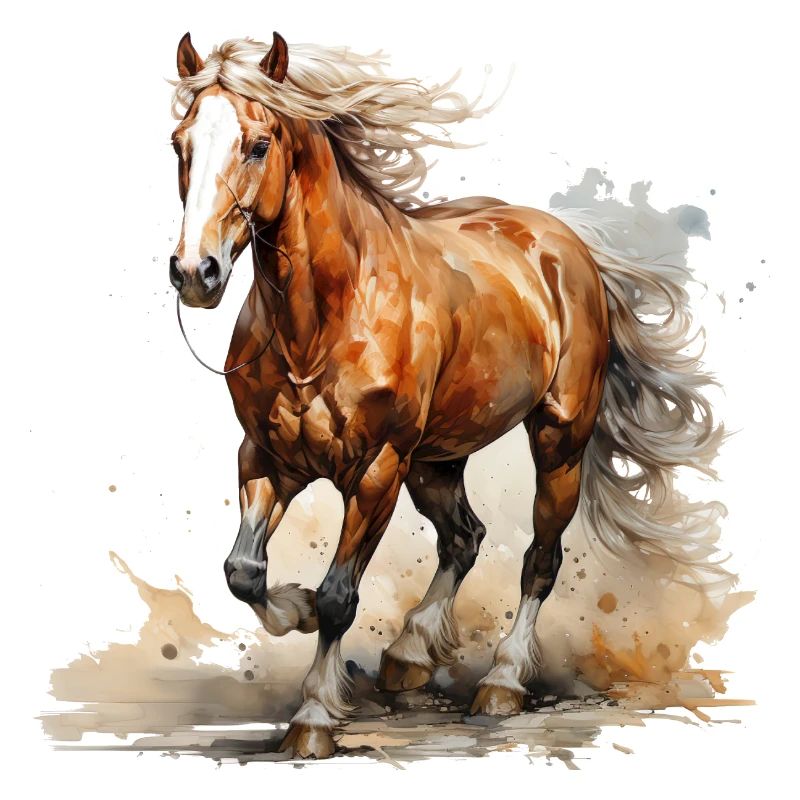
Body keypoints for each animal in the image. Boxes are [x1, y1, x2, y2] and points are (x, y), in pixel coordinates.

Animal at [167, 32, 728, 758]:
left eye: (259, 145)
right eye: (179, 144)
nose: (194, 272)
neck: (326, 319)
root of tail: (568, 245)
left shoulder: (376, 470)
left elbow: (338, 597)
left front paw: (313, 716)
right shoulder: (265, 458)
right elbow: (243, 572)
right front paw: (292, 611)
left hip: (557, 442)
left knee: (540, 559)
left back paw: (502, 683)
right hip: (436, 461)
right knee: (465, 537)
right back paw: (408, 653)